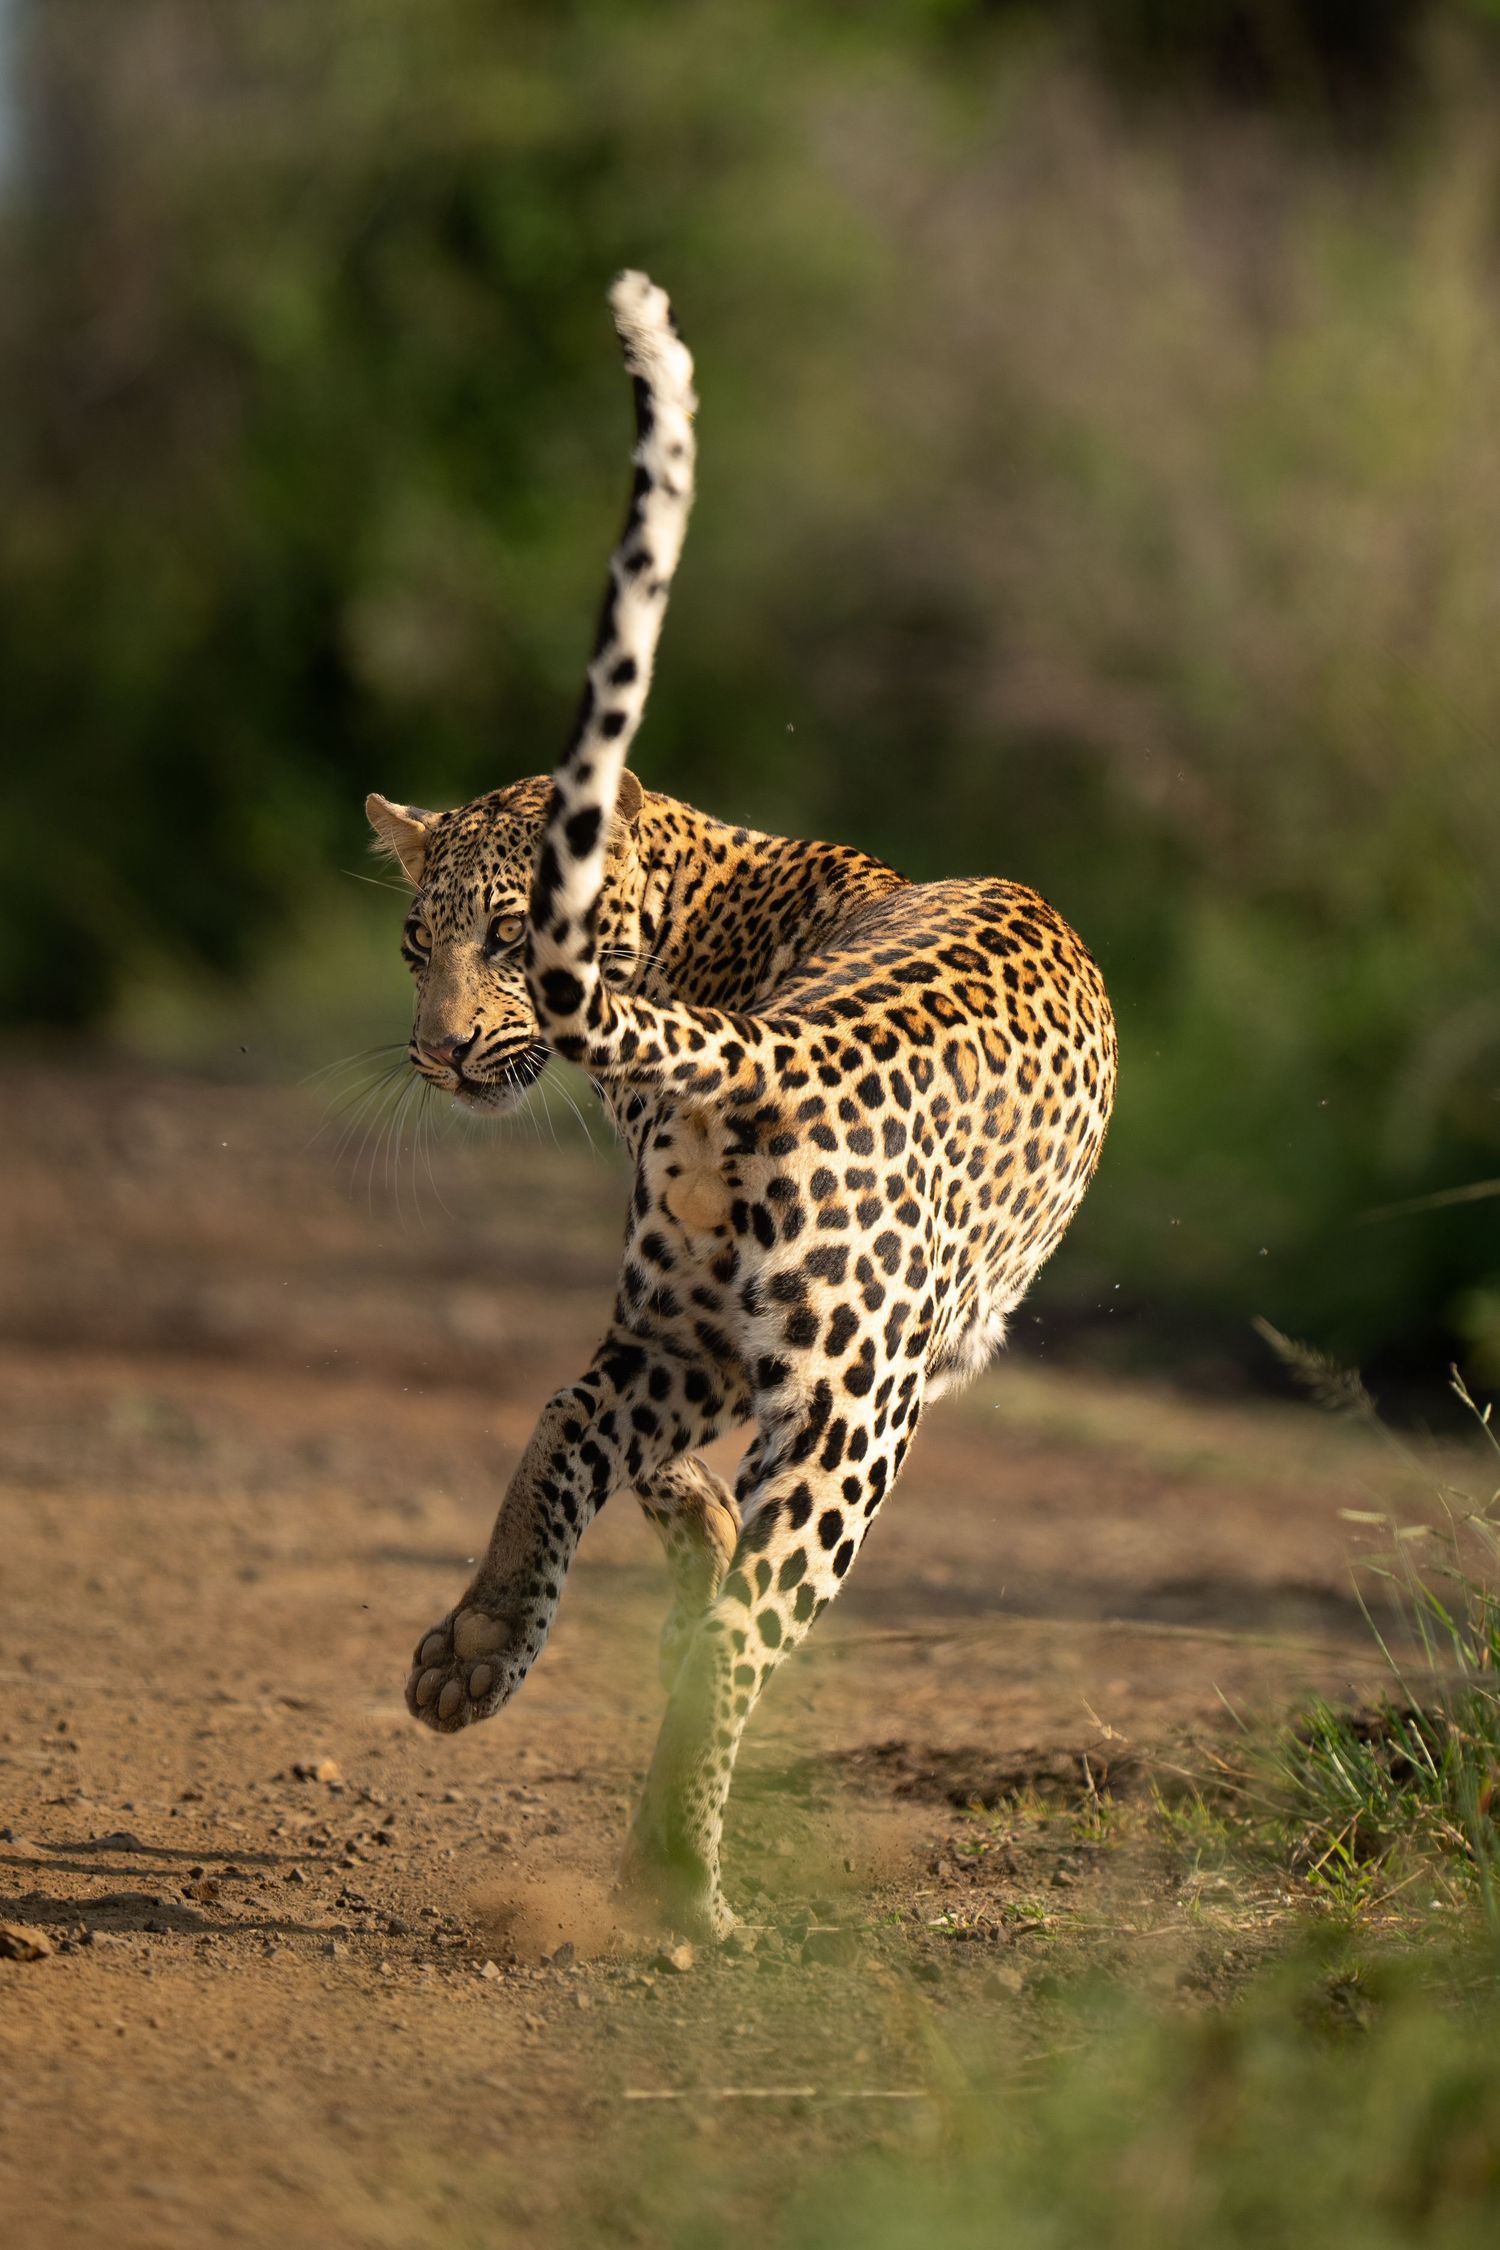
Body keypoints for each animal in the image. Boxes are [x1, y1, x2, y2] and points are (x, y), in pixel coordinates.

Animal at [364, 271, 1117, 1941]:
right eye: (414, 941)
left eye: (502, 935)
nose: (441, 1053)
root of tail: (776, 1048)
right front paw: (707, 1539)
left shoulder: (707, 1338)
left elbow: (637, 1466)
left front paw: (685, 1530)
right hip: (856, 1409)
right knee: (738, 1621)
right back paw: (682, 1884)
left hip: (697, 1329)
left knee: (566, 1420)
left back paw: (472, 1659)